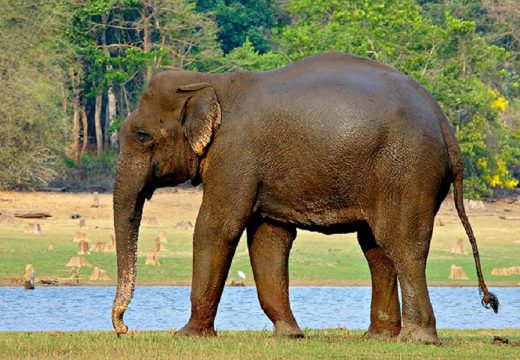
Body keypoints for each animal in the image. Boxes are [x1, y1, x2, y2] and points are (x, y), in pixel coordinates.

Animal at [111, 51, 498, 344]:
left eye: (142, 136)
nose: (123, 327)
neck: (209, 80)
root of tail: (445, 126)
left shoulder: (235, 155)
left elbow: (217, 226)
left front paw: (187, 334)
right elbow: (269, 238)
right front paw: (289, 335)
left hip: (408, 169)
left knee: (402, 244)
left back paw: (418, 338)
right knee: (376, 247)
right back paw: (378, 337)